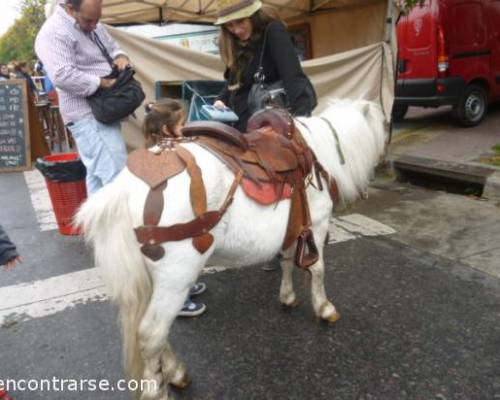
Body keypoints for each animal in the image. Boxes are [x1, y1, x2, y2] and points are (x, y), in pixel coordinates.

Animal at [75, 98, 386, 398]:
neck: (316, 149)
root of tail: (124, 189)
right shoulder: (318, 224)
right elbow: (318, 269)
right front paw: (323, 308)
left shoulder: (292, 227)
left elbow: (286, 261)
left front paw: (287, 296)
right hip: (176, 279)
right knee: (152, 334)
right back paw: (157, 389)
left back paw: (175, 372)